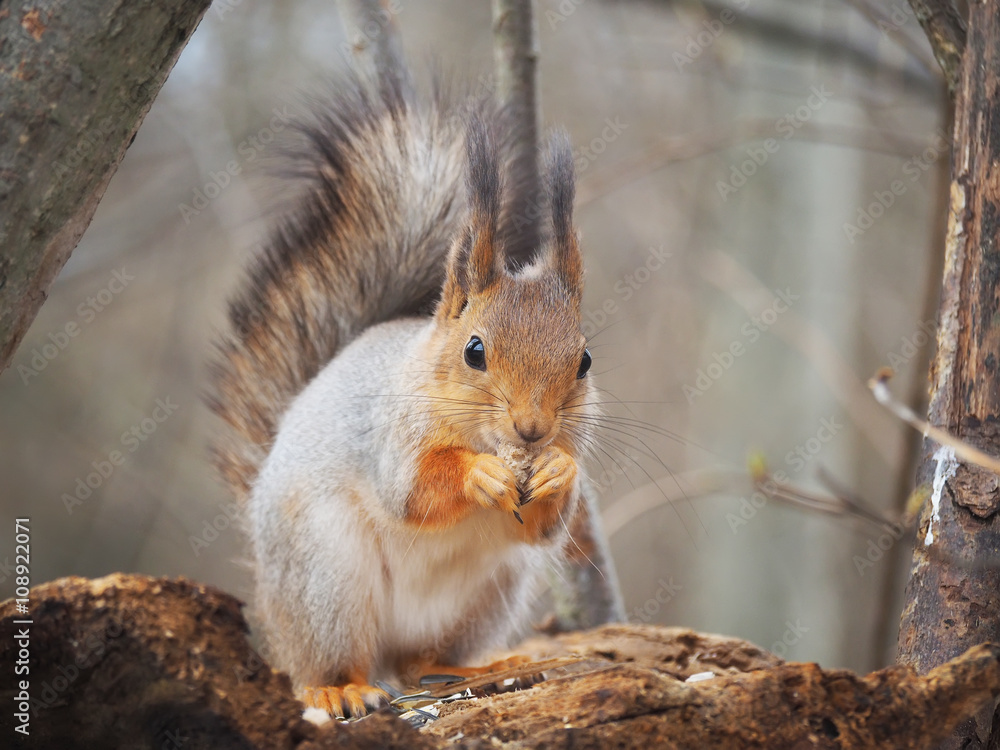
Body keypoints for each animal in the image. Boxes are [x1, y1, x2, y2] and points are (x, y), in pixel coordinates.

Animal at [207, 72, 599, 719]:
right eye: (474, 351)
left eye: (585, 361)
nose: (532, 429)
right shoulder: (391, 436)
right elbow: (412, 490)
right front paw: (478, 475)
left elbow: (543, 528)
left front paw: (556, 471)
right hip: (326, 574)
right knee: (326, 662)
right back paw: (338, 688)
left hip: (490, 591)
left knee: (420, 662)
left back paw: (484, 666)